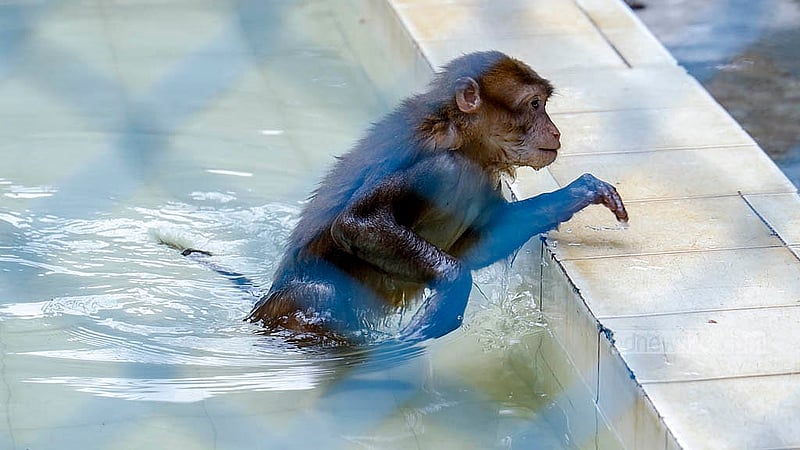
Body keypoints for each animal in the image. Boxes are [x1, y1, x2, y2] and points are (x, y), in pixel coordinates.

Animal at [242, 51, 628, 345]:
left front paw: (578, 192)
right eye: (534, 105)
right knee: (321, 293)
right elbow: (355, 224)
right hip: (290, 307)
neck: (463, 142)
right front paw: (452, 286)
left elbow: (478, 246)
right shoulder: (436, 167)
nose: (555, 131)